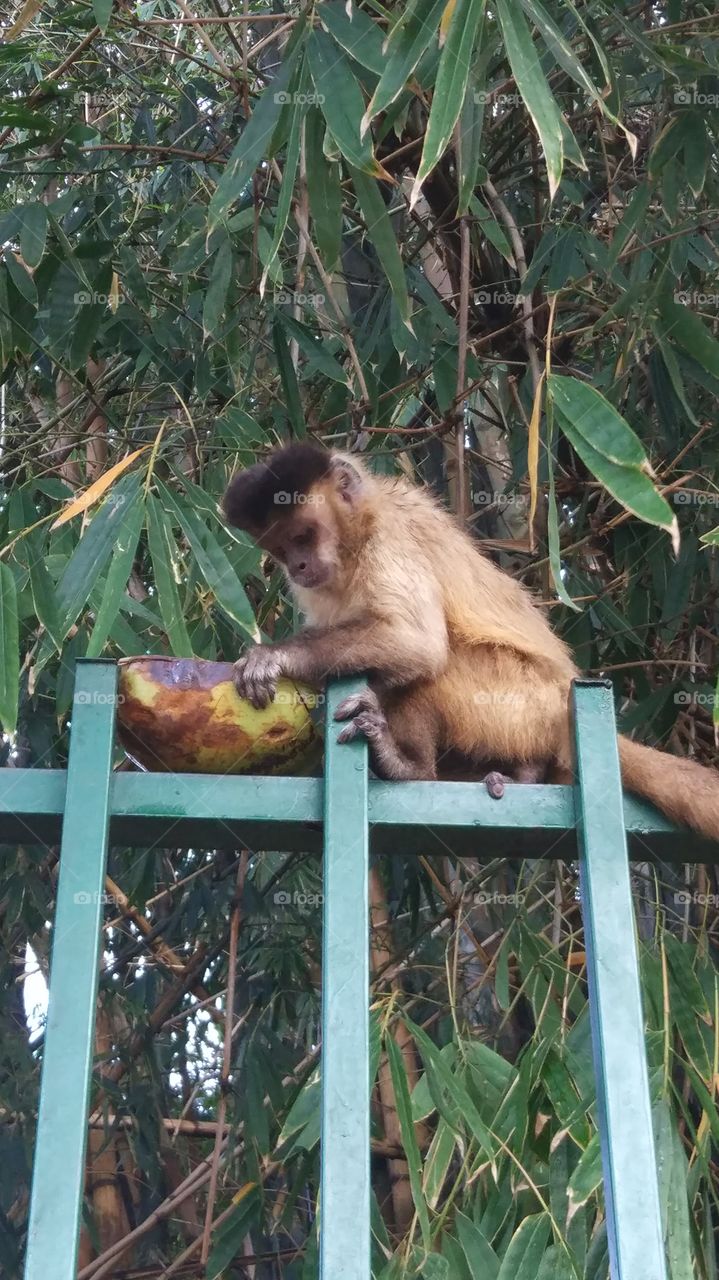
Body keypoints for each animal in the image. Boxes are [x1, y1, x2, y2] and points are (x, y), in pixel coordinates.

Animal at [222, 442, 719, 842]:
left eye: (303, 535)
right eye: (282, 549)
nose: (299, 566)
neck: (356, 536)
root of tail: (564, 699)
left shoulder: (388, 537)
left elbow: (416, 643)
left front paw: (274, 657)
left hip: (521, 699)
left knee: (436, 666)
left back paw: (410, 767)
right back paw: (521, 774)